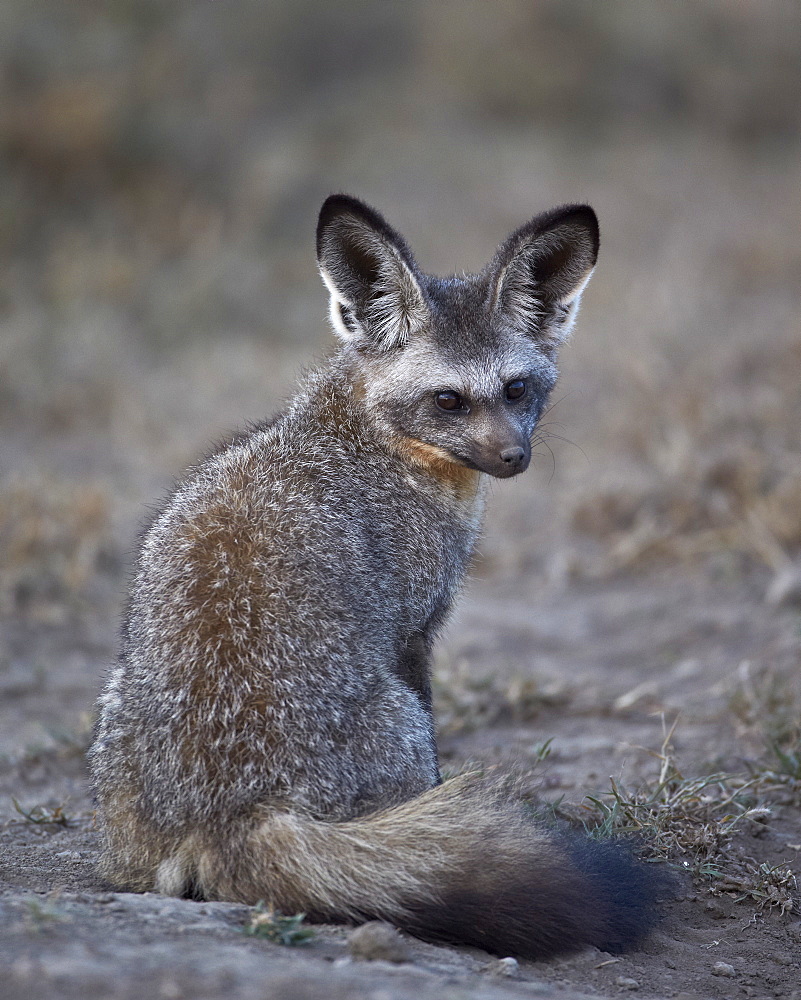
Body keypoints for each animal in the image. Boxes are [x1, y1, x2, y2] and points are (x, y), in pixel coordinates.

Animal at [90, 193, 668, 960]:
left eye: (517, 390)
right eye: (449, 400)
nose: (514, 458)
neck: (358, 437)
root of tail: (232, 810)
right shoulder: (415, 631)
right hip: (398, 719)